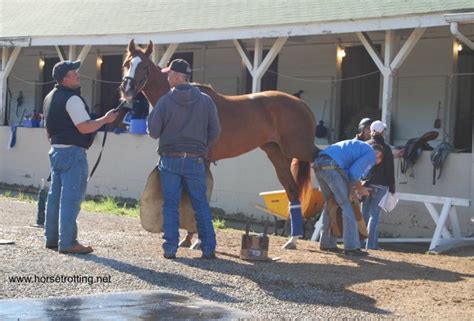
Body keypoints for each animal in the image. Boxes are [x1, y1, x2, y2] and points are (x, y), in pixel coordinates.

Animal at [120, 40, 320, 226]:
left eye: (144, 66)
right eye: (127, 63)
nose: (127, 89)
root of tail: (301, 104)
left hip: (299, 148)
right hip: (278, 155)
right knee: (293, 191)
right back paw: (292, 237)